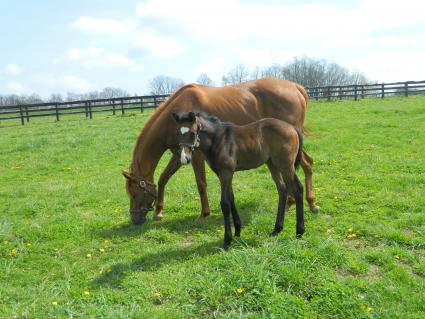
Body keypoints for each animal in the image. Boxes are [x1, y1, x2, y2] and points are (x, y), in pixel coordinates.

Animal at [172, 112, 304, 250]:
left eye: (192, 133)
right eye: (178, 133)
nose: (184, 159)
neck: (218, 140)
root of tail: (292, 127)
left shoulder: (226, 173)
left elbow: (225, 203)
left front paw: (227, 240)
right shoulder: (224, 174)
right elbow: (231, 199)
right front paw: (237, 232)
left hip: (286, 166)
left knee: (298, 189)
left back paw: (299, 232)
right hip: (272, 164)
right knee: (282, 189)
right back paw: (277, 229)